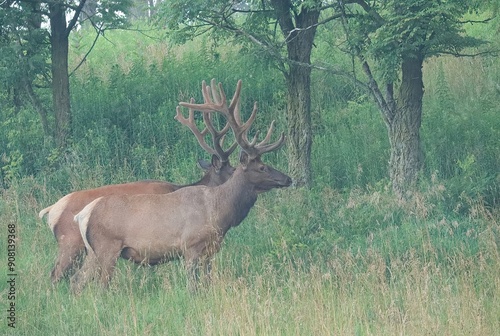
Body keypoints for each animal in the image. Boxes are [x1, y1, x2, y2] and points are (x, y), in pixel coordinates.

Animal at [68, 80, 292, 292]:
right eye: (262, 167)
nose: (288, 179)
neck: (219, 213)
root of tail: (82, 214)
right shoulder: (190, 246)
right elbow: (193, 286)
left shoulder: (209, 251)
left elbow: (206, 283)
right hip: (108, 246)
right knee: (99, 286)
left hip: (92, 252)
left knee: (77, 281)